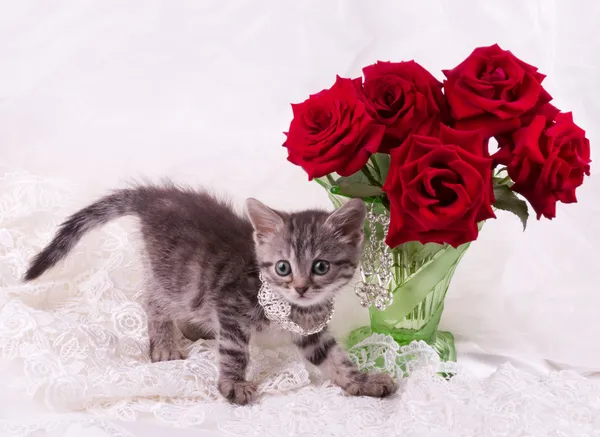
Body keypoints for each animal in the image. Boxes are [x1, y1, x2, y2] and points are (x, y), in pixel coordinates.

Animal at [24, 182, 398, 404]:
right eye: (283, 268)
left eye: (321, 266)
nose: (302, 287)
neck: (291, 306)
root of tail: (155, 194)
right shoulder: (230, 306)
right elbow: (234, 351)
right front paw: (233, 384)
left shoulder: (311, 331)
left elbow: (334, 359)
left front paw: (362, 382)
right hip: (173, 275)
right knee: (154, 300)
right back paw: (164, 343)